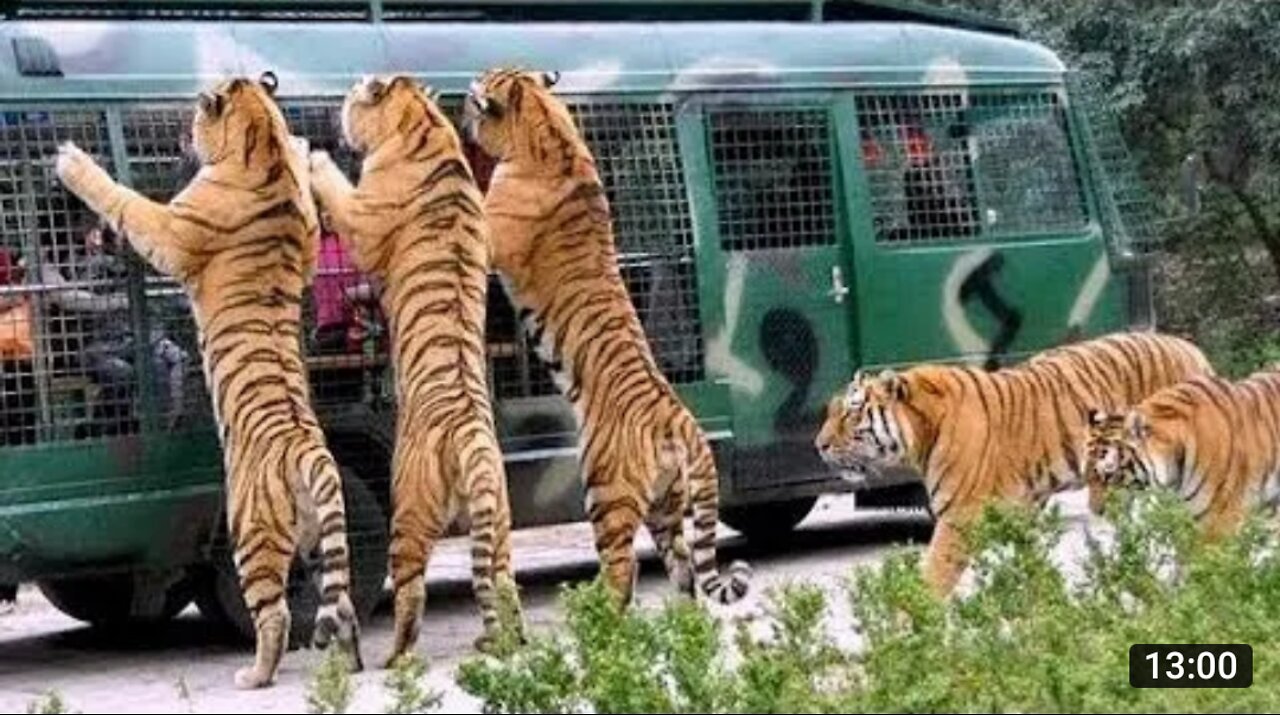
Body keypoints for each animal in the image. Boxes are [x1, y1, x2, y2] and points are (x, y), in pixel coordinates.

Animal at [54, 71, 360, 690]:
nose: (180, 133)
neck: (262, 148)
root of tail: (310, 453)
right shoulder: (307, 242)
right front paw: (306, 150)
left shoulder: (170, 229)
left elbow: (123, 200)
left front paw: (72, 161)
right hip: (325, 537)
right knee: (343, 604)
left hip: (249, 531)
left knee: (275, 613)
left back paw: (254, 676)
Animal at [307, 74, 522, 665]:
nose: (335, 114)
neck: (422, 123)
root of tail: (471, 437)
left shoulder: (362, 219)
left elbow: (337, 188)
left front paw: (312, 156)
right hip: (497, 514)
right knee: (502, 581)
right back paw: (509, 639)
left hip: (408, 506)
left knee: (410, 590)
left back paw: (395, 656)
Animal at [463, 67, 747, 606]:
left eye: (474, 97)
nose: (465, 120)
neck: (548, 128)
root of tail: (681, 422)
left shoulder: (487, 237)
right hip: (665, 504)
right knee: (683, 570)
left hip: (604, 491)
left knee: (622, 571)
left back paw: (598, 610)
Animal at [814, 332, 1213, 596]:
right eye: (831, 410)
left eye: (851, 412)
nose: (819, 445)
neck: (921, 432)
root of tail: (1191, 349)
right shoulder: (1018, 514)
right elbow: (1034, 571)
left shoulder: (958, 518)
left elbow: (933, 577)